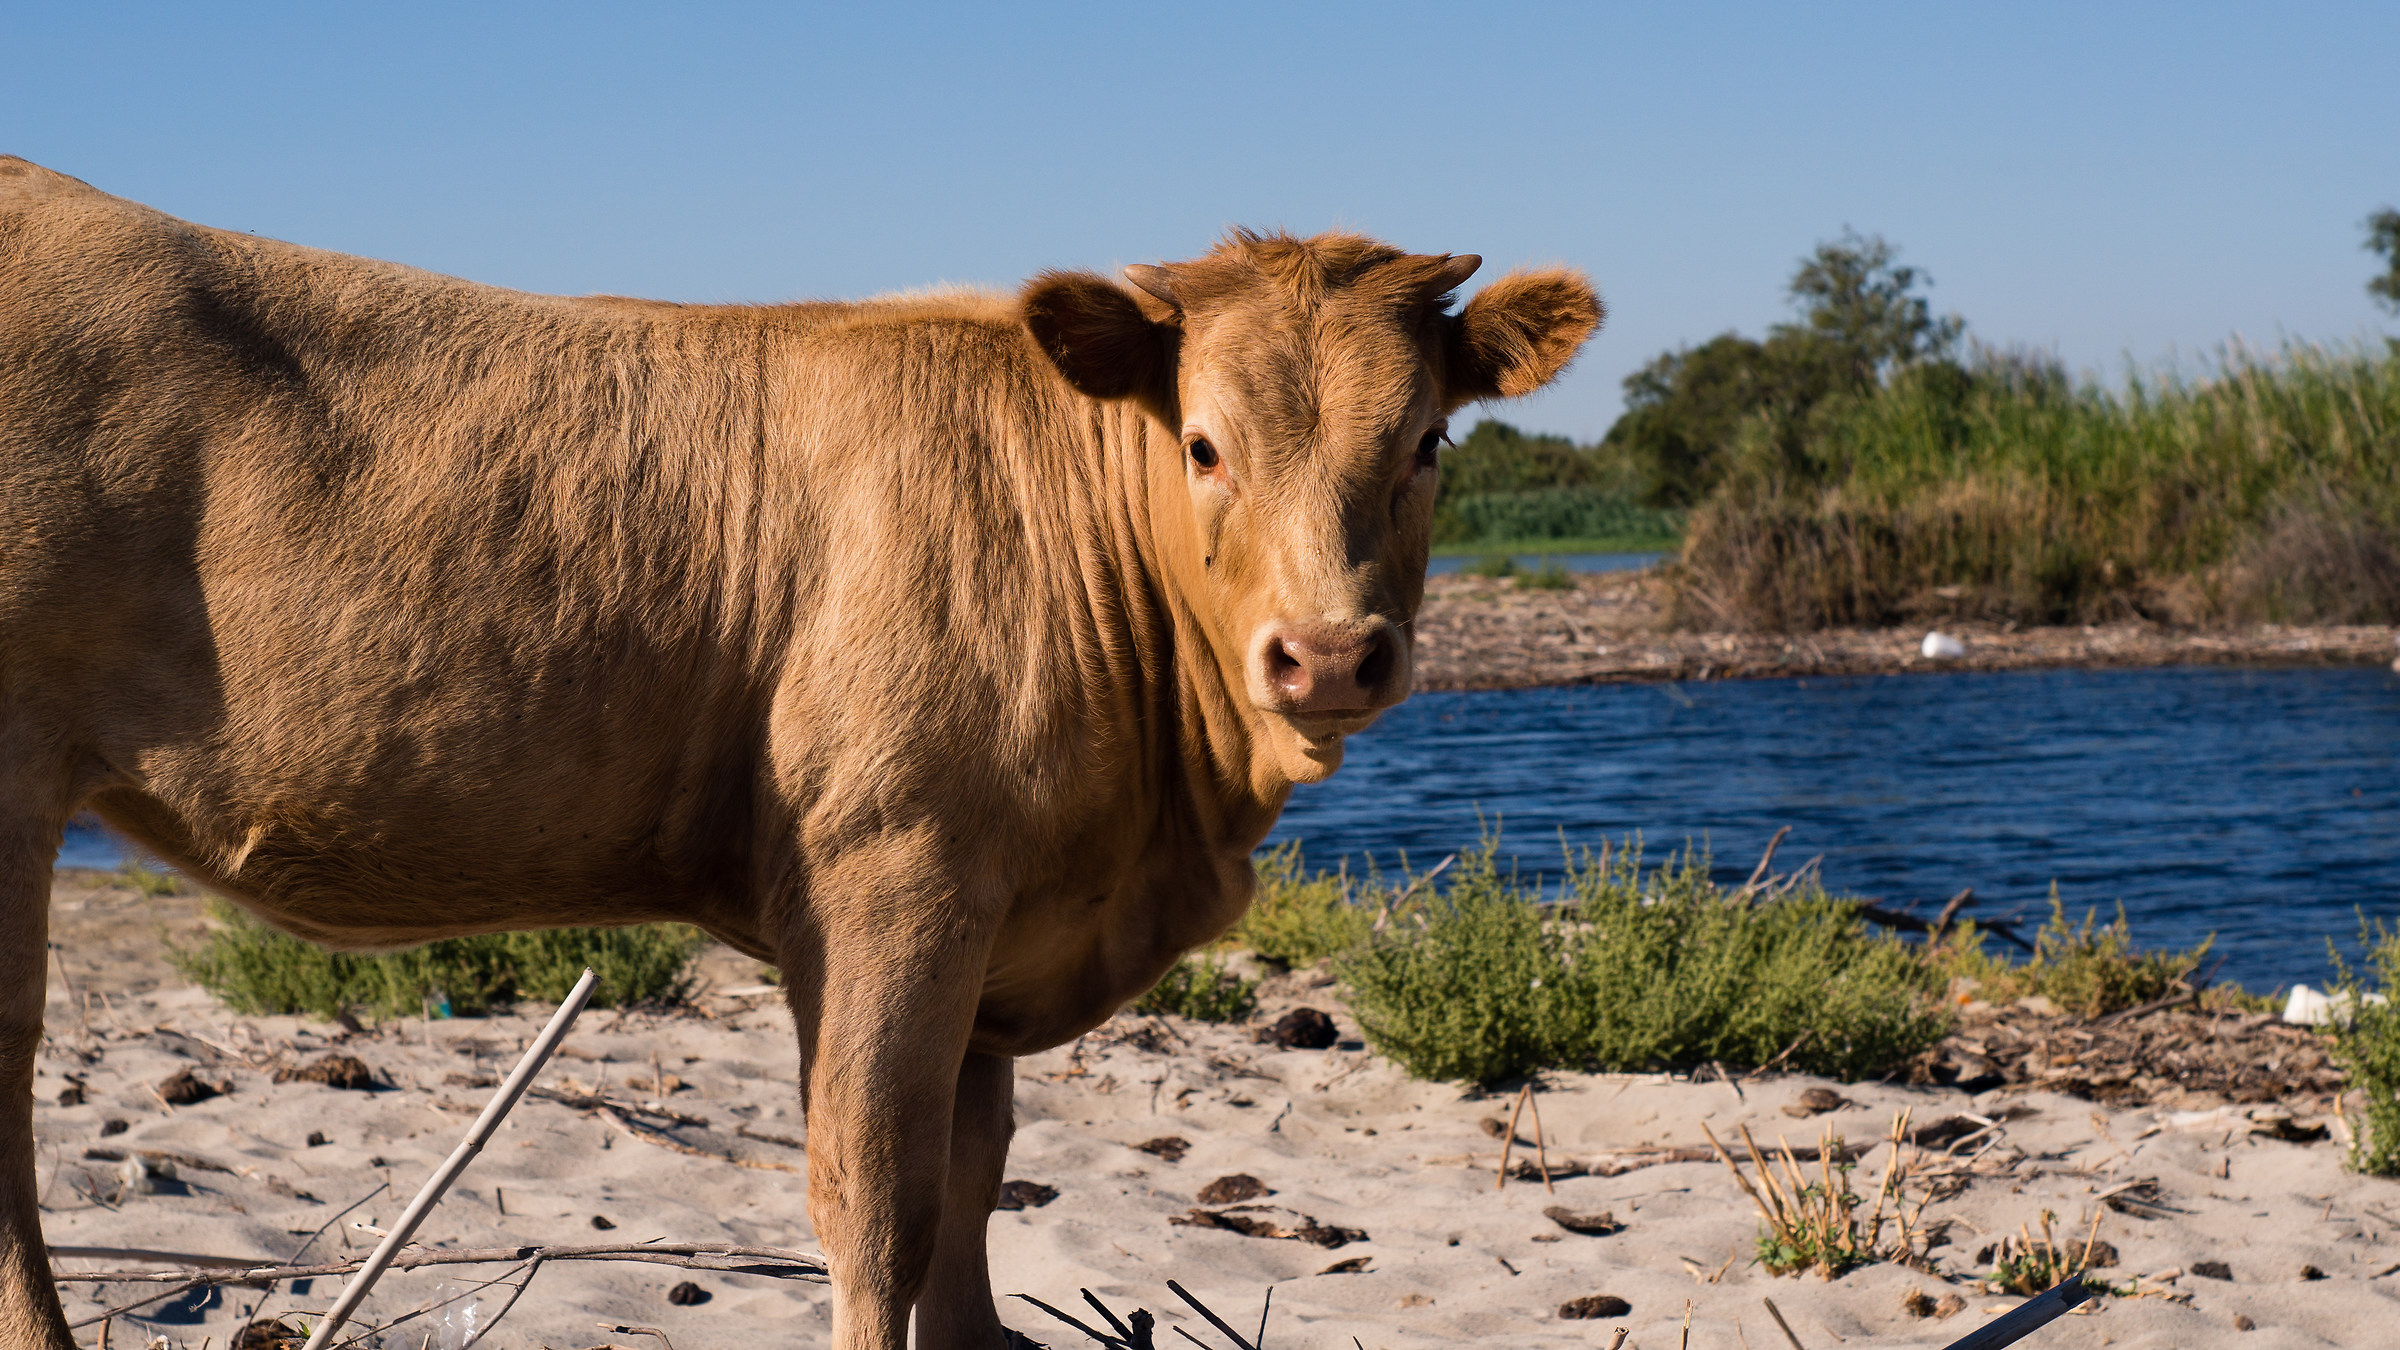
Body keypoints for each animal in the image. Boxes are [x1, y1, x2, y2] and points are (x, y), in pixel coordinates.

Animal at [0, 156, 1600, 1349]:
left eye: (1429, 444)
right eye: (1203, 444)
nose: (1326, 655)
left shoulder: (989, 927)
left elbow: (971, 1197)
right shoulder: (890, 874)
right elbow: (877, 1204)